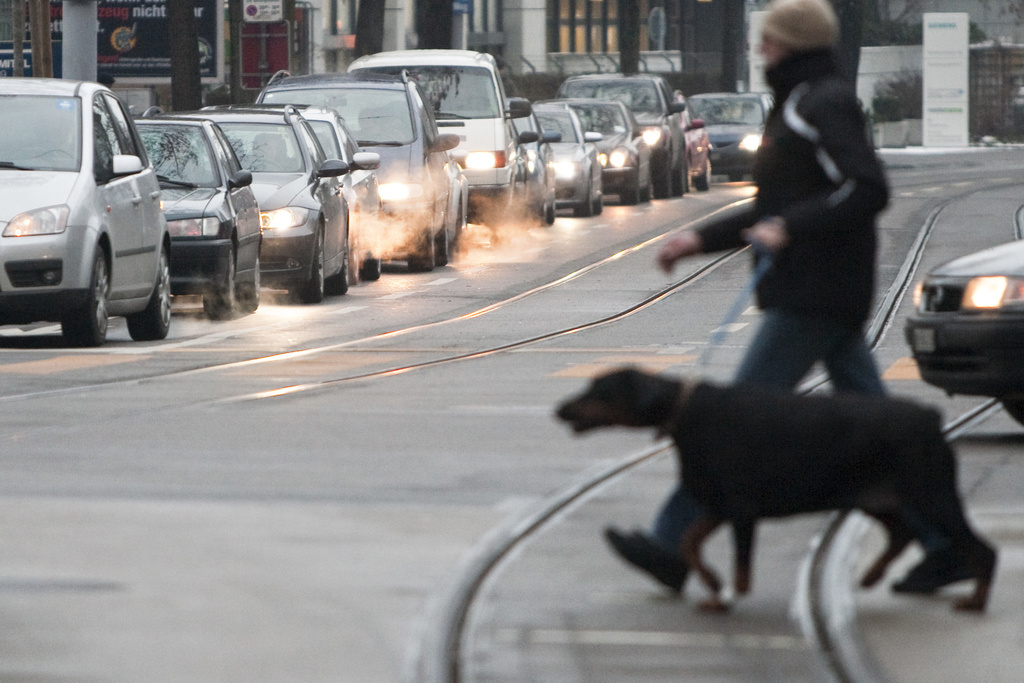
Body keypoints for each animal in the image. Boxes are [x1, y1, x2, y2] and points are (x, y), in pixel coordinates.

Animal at [557, 368, 995, 614]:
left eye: (599, 389)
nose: (559, 410)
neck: (681, 411)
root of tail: (931, 417)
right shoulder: (717, 506)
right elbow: (688, 542)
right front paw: (711, 585)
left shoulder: (739, 509)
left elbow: (741, 571)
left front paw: (724, 596)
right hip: (875, 497)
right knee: (901, 532)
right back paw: (874, 575)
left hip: (932, 494)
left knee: (982, 550)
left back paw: (974, 601)